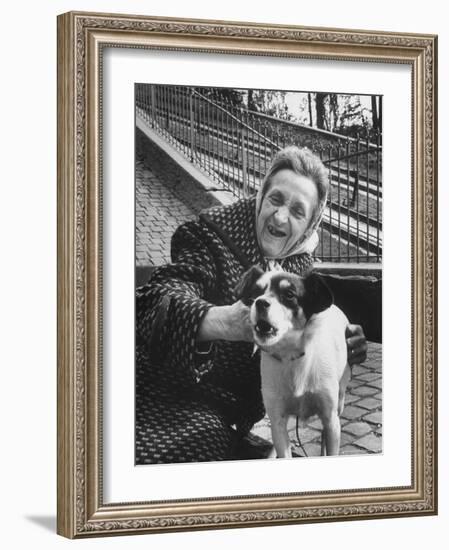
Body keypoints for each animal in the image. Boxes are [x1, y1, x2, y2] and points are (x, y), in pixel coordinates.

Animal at [236, 268, 352, 462]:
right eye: (255, 292)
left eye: (289, 295)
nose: (260, 302)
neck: (290, 357)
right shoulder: (278, 419)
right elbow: (283, 448)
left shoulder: (330, 419)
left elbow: (330, 441)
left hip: (339, 401)